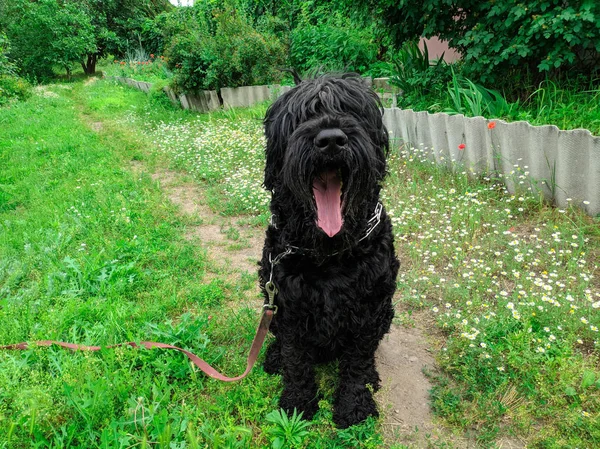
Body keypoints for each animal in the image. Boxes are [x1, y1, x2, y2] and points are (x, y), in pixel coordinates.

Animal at [258, 73, 398, 428]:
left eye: (352, 110)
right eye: (300, 116)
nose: (331, 139)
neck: (329, 253)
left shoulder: (369, 312)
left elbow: (357, 362)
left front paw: (354, 406)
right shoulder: (289, 310)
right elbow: (296, 360)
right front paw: (297, 404)